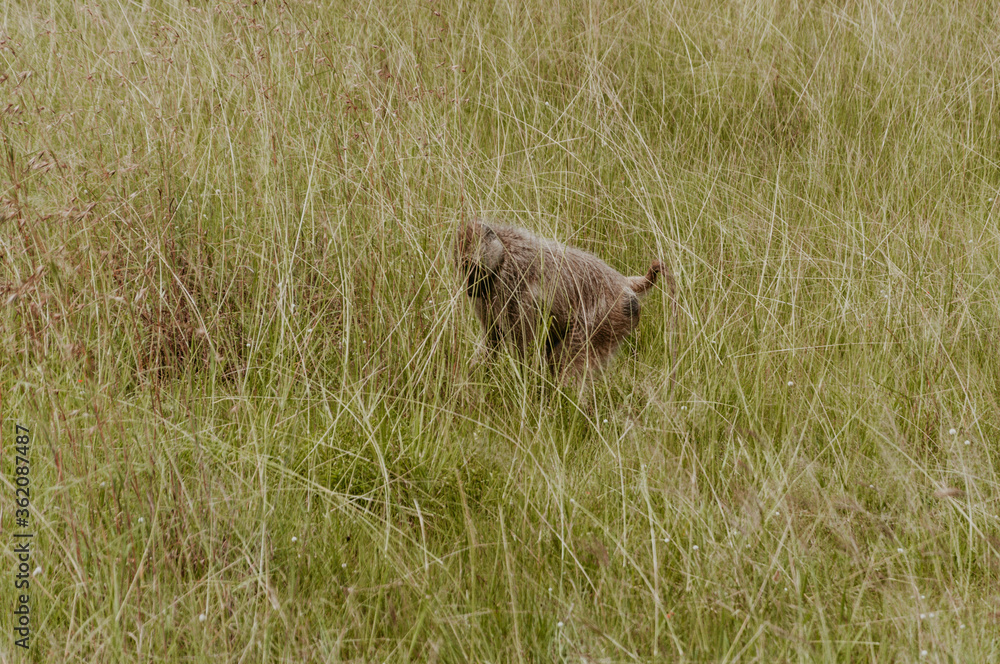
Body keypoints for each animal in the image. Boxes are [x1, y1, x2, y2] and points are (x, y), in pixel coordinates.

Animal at [455, 218, 669, 381]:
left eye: (473, 268)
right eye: (464, 268)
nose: (470, 290)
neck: (504, 253)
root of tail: (623, 283)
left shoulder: (512, 285)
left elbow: (525, 350)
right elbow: (492, 338)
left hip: (608, 319)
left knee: (567, 363)